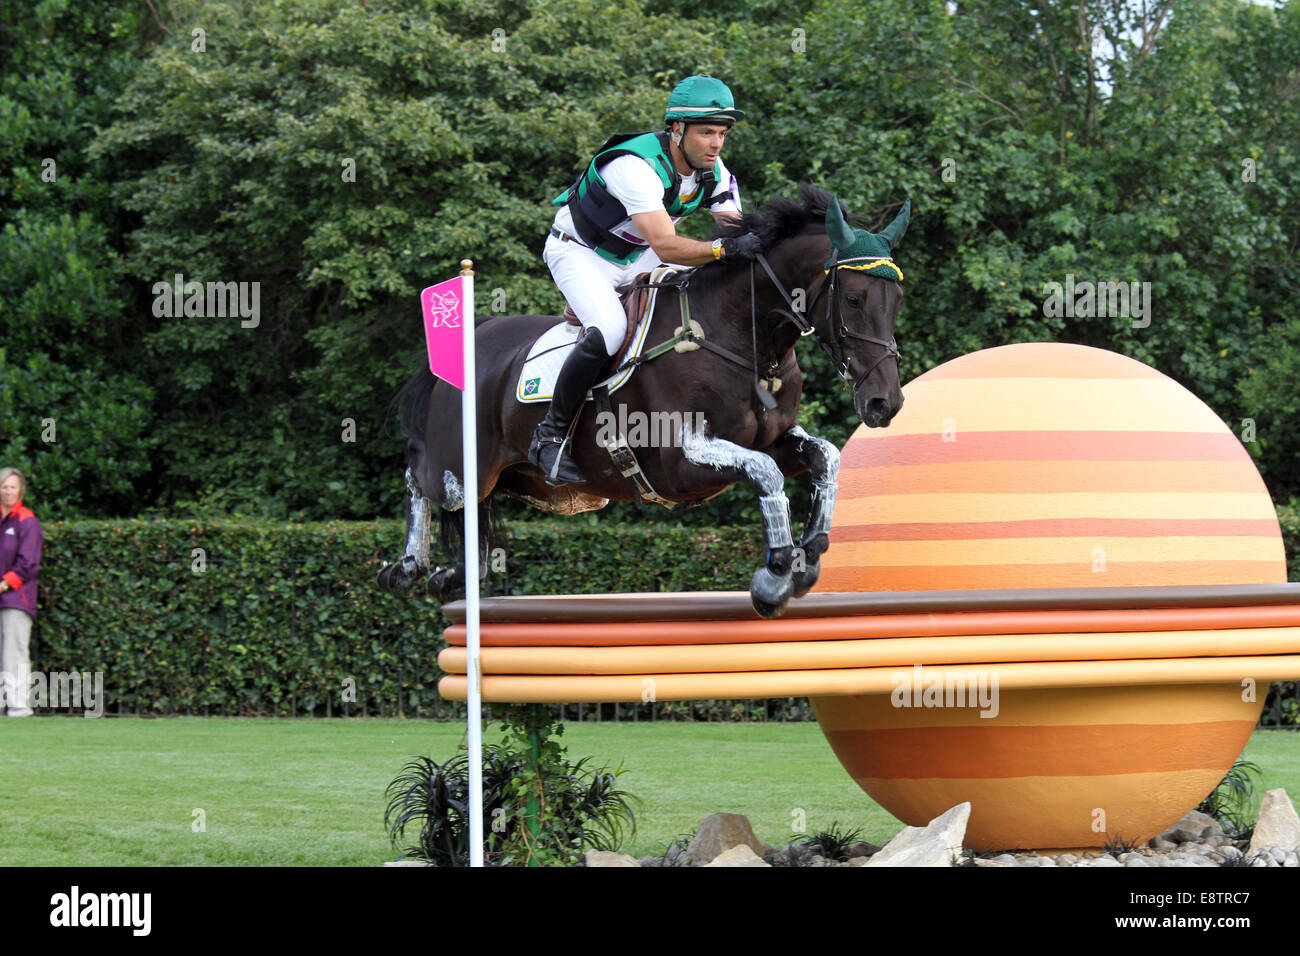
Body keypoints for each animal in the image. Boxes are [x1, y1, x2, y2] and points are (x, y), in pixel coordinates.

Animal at [379, 187, 909, 621]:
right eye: (855, 299)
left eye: (897, 299)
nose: (885, 402)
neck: (744, 337)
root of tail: (480, 332)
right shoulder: (679, 464)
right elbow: (766, 473)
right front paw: (775, 577)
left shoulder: (773, 439)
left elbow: (824, 456)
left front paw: (809, 554)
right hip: (463, 468)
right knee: (420, 478)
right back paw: (405, 567)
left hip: (543, 489)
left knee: (473, 528)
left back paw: (449, 576)